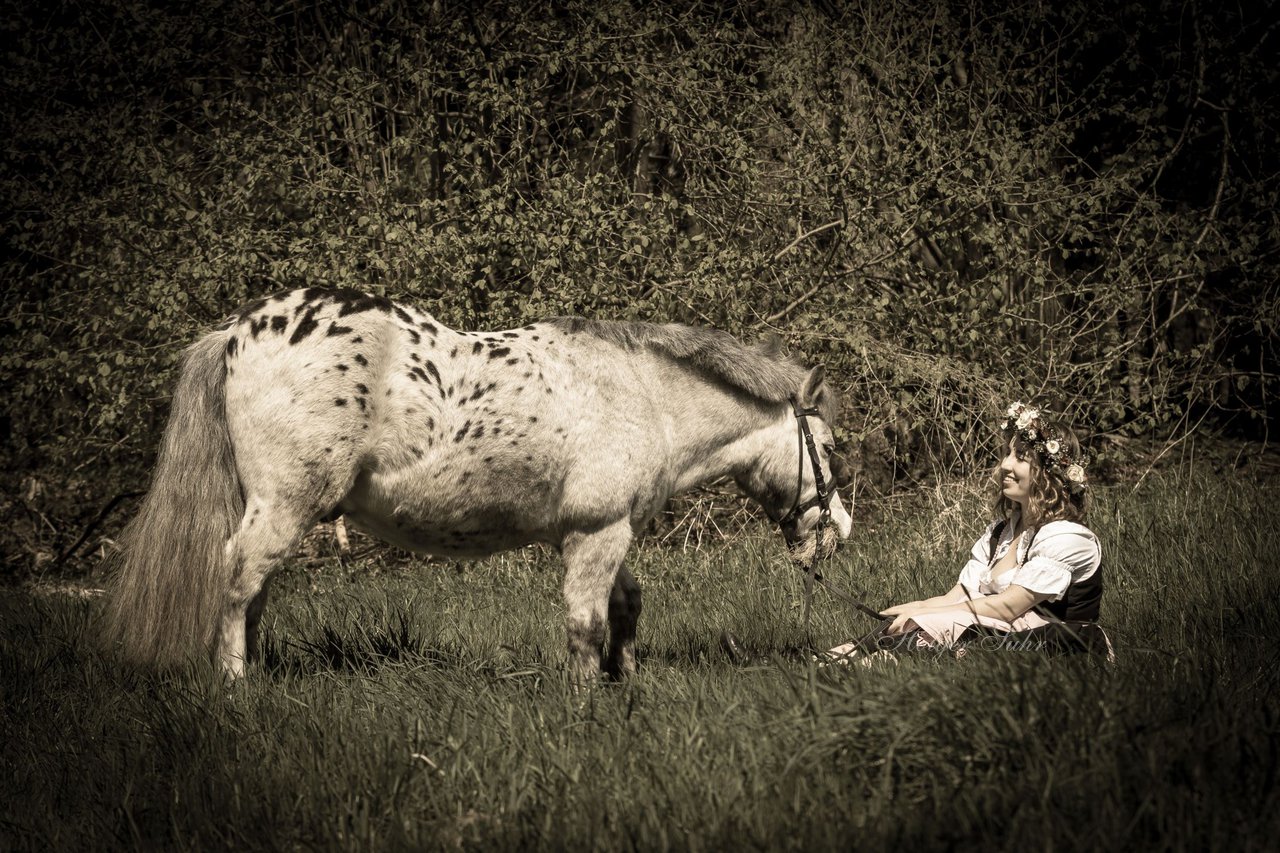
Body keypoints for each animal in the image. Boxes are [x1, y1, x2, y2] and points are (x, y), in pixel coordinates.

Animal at [104, 289, 855, 681]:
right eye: (829, 449)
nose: (840, 533)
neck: (642, 395)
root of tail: (237, 332)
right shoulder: (596, 533)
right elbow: (586, 623)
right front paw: (587, 701)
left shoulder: (599, 532)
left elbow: (626, 607)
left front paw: (625, 680)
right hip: (285, 505)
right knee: (237, 581)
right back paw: (237, 686)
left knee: (254, 591)